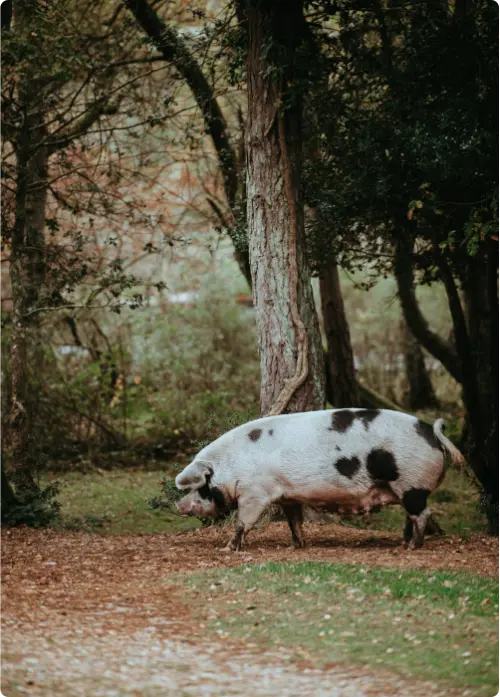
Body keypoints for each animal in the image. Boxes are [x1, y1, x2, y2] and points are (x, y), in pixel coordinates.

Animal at [175, 408, 464, 551]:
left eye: (201, 487)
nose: (178, 505)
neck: (232, 466)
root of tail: (432, 432)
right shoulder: (287, 495)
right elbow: (294, 521)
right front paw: (297, 546)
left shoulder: (255, 492)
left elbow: (242, 523)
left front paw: (226, 550)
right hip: (406, 486)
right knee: (411, 515)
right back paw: (404, 543)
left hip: (411, 482)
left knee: (422, 513)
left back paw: (412, 547)